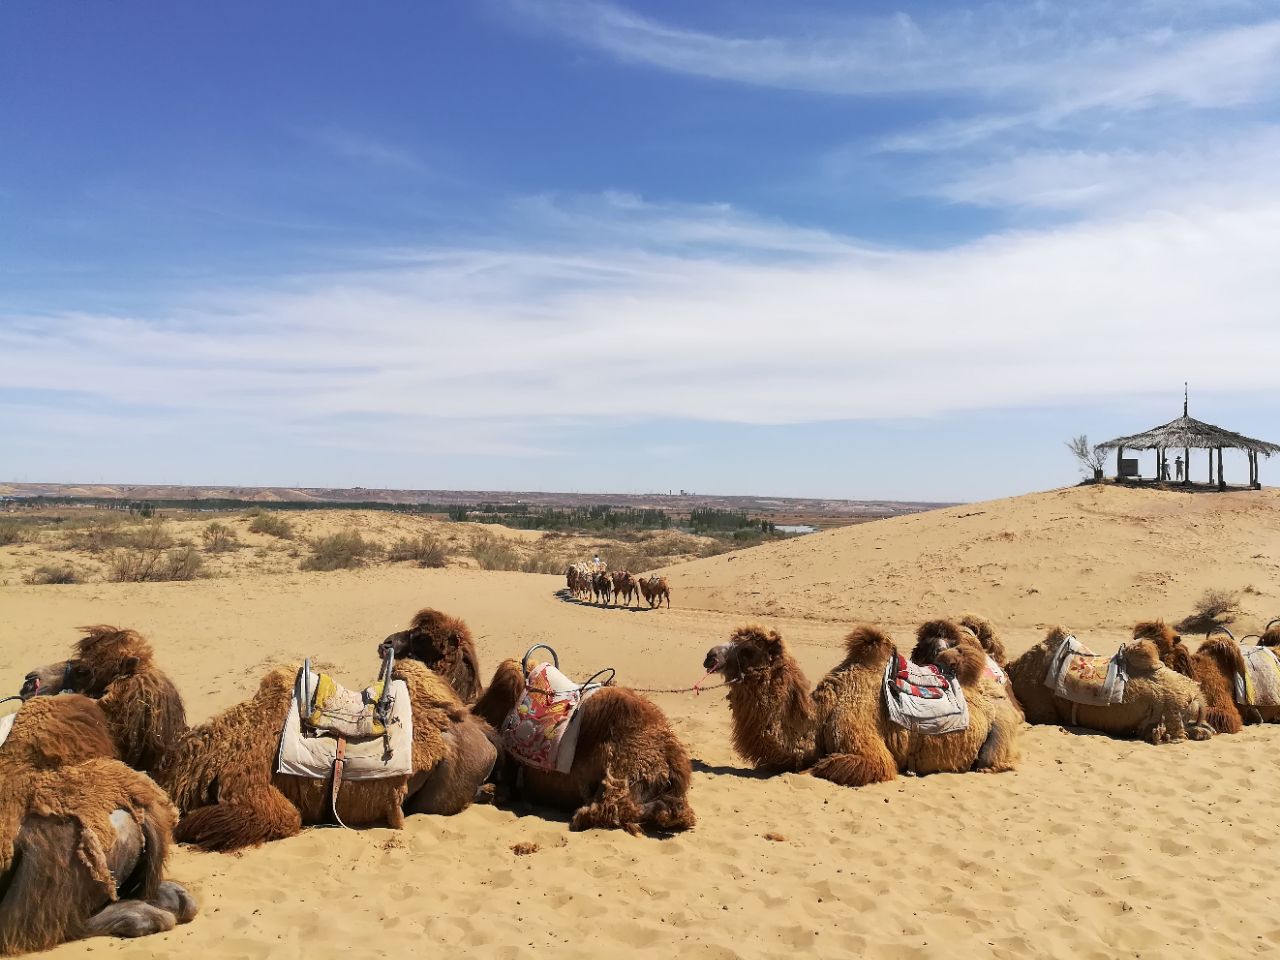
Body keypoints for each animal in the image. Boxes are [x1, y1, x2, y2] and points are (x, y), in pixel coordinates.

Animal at [701, 624, 1018, 788]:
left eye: (747, 649)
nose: (710, 656)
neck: (823, 715)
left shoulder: (865, 746)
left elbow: (823, 767)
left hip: (1001, 731)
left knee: (992, 762)